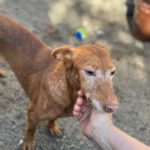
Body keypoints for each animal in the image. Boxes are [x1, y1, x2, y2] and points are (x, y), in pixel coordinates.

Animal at [0, 15, 118, 150]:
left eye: (113, 72)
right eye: (89, 72)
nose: (112, 107)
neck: (68, 93)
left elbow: (53, 118)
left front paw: (52, 126)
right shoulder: (32, 114)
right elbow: (31, 129)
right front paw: (28, 142)